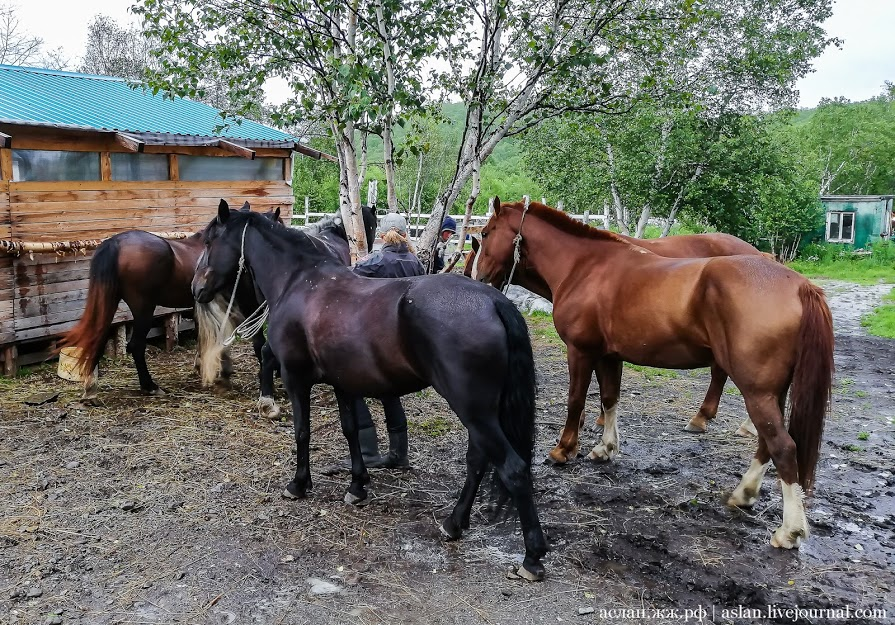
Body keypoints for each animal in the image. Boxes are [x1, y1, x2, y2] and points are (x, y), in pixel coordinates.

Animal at [192, 205, 548, 580]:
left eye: (209, 241)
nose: (195, 287)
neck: (299, 282)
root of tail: (492, 300)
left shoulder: (294, 378)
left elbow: (302, 432)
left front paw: (299, 484)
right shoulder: (343, 383)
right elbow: (351, 431)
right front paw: (357, 486)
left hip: (474, 411)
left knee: (513, 468)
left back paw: (531, 557)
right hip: (480, 414)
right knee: (478, 461)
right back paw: (454, 523)